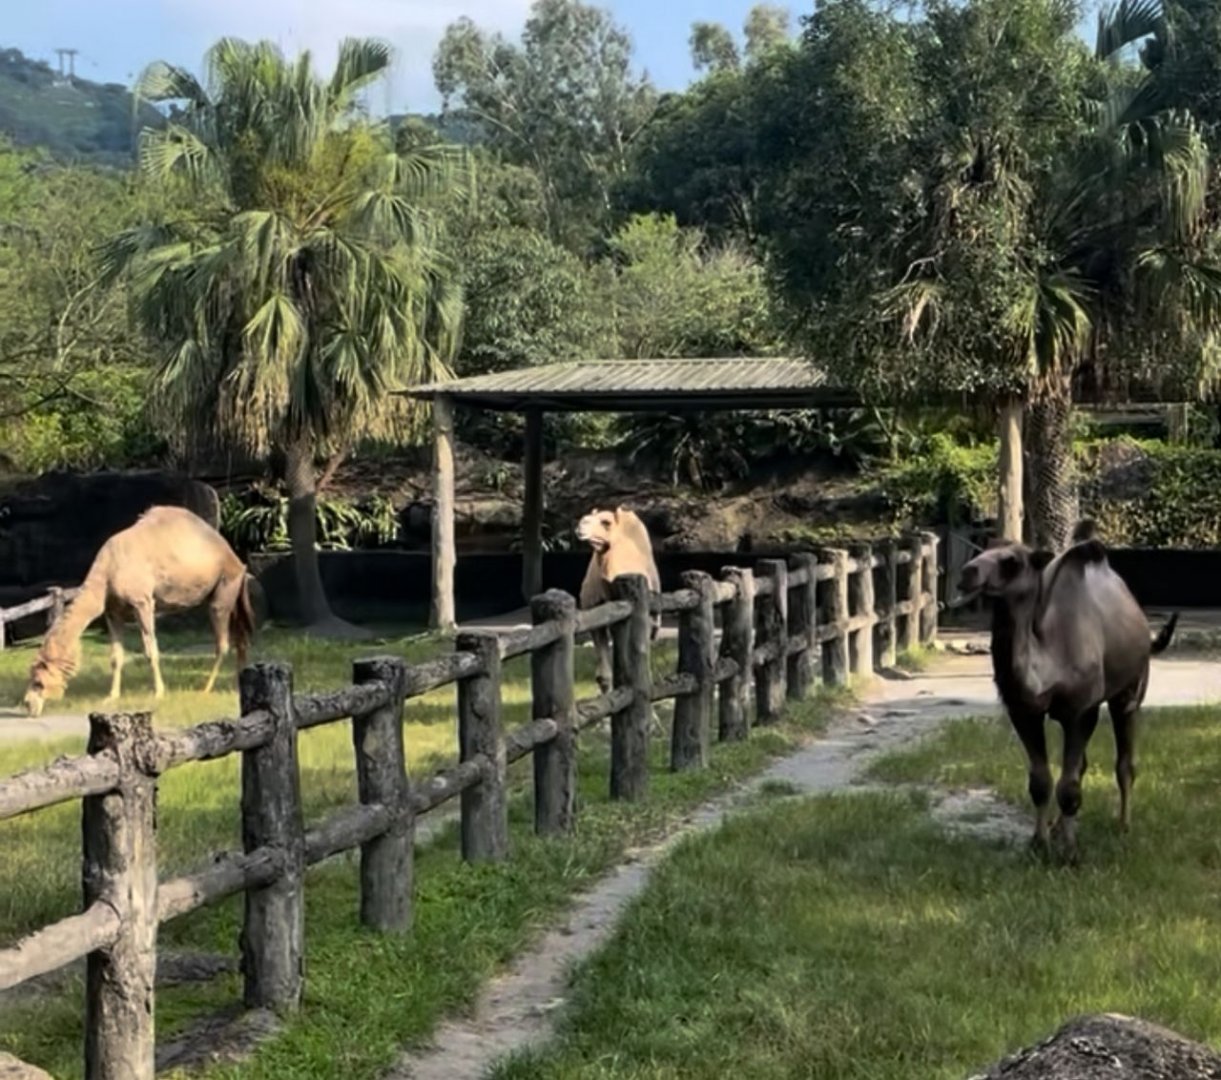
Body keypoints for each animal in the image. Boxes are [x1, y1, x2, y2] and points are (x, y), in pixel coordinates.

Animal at [21, 506, 256, 718]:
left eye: (38, 682)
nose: (28, 705)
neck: (108, 571)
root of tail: (237, 560)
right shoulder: (113, 612)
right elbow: (116, 656)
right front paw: (112, 696)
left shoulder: (142, 602)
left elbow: (151, 651)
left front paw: (159, 693)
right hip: (231, 595)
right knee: (241, 639)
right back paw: (240, 681)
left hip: (223, 590)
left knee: (222, 644)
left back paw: (205, 689)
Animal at [957, 532, 1177, 860]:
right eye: (983, 550)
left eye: (1012, 561)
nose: (967, 573)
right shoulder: (1023, 711)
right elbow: (1041, 781)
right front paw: (1039, 843)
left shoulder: (1082, 710)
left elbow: (1070, 787)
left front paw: (1071, 854)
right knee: (1080, 766)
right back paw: (1058, 828)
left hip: (1130, 691)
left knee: (1124, 763)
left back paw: (1123, 826)